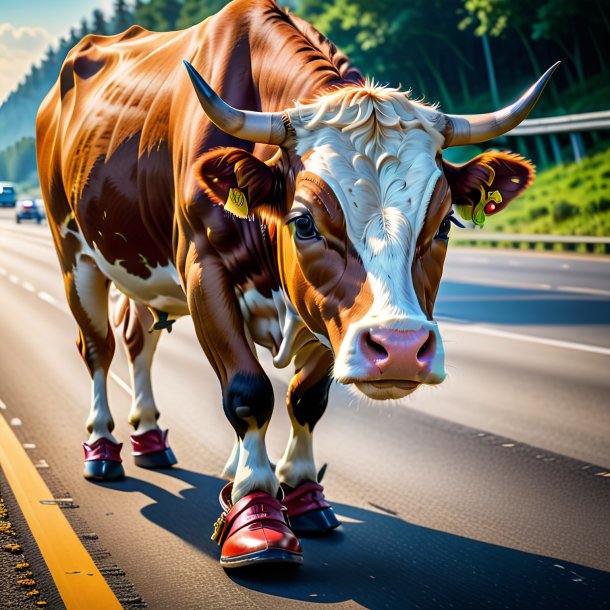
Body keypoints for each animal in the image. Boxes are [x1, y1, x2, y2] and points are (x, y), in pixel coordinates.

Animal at [35, 0, 552, 564]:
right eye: (303, 222)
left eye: (443, 225)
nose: (398, 348)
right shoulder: (203, 272)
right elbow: (247, 391)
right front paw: (255, 508)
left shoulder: (326, 314)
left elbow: (307, 398)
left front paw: (302, 493)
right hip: (73, 251)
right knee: (98, 347)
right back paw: (103, 448)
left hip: (142, 271)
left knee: (137, 340)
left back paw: (150, 437)